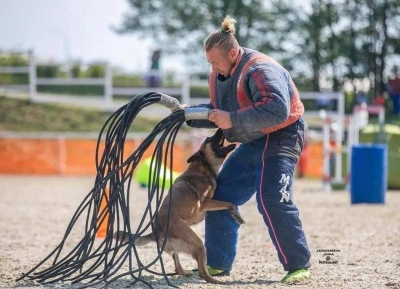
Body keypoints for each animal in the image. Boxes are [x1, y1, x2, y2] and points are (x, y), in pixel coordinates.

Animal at [114, 128, 245, 282]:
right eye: (209, 139)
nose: (220, 129)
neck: (202, 168)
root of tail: (156, 233)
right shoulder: (205, 203)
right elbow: (229, 203)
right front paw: (237, 216)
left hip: (178, 247)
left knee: (177, 265)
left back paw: (185, 272)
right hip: (197, 243)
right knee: (201, 271)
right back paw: (213, 280)